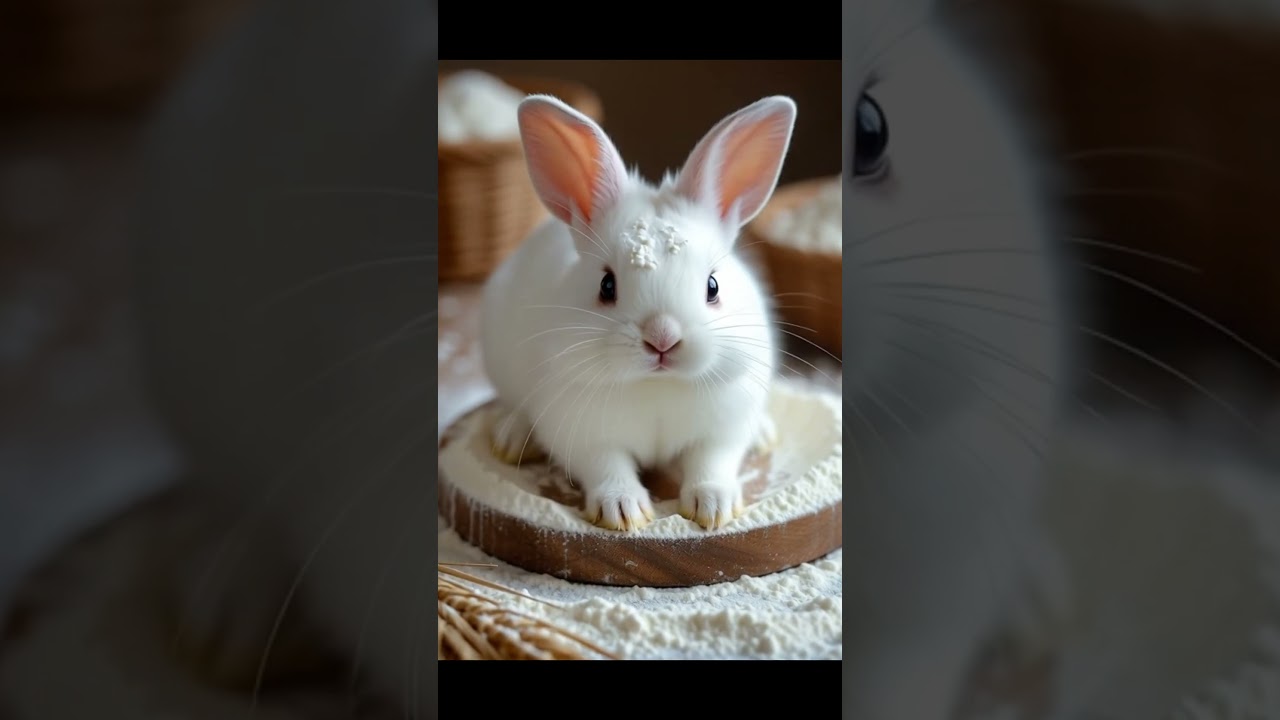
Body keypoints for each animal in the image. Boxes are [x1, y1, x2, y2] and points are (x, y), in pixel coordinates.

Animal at [480, 94, 794, 532]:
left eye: (713, 287)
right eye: (606, 286)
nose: (662, 337)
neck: (655, 385)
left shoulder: (723, 429)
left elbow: (711, 463)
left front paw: (714, 509)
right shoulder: (583, 434)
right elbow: (607, 467)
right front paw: (623, 511)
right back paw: (510, 438)